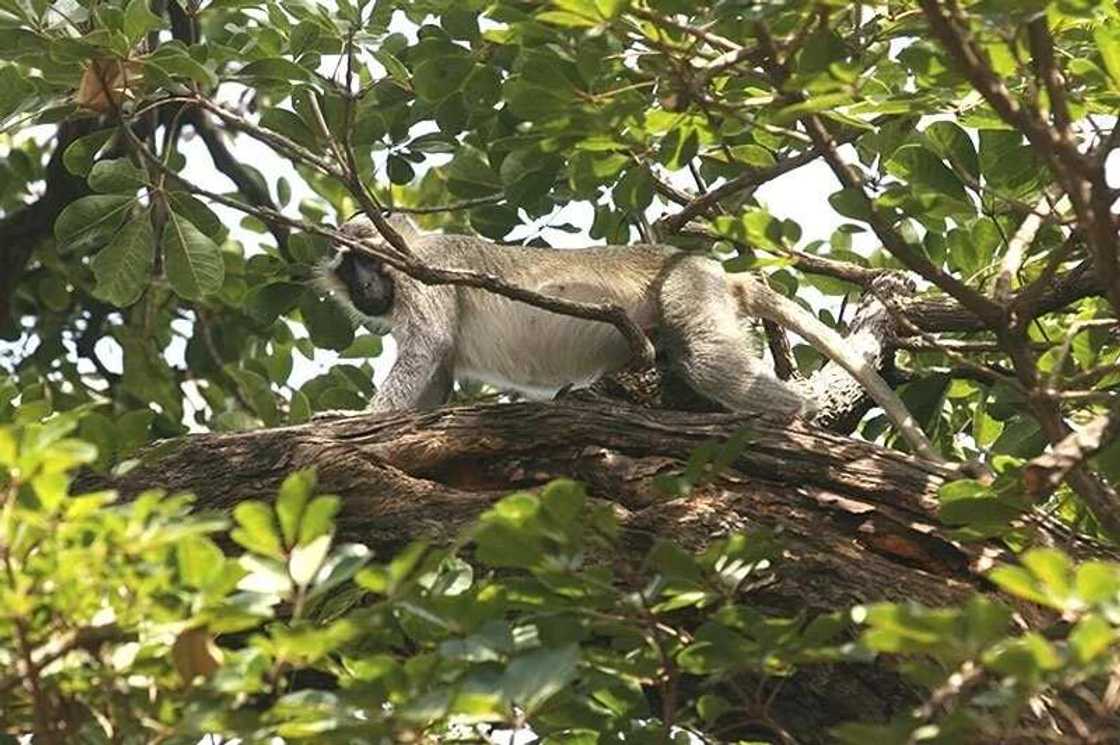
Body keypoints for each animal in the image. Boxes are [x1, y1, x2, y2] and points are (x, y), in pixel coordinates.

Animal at [320, 211, 940, 461]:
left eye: (367, 258)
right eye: (349, 267)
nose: (366, 285)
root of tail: (720, 275)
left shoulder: (424, 273)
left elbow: (425, 349)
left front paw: (350, 419)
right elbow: (437, 373)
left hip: (689, 289)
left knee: (709, 361)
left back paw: (796, 414)